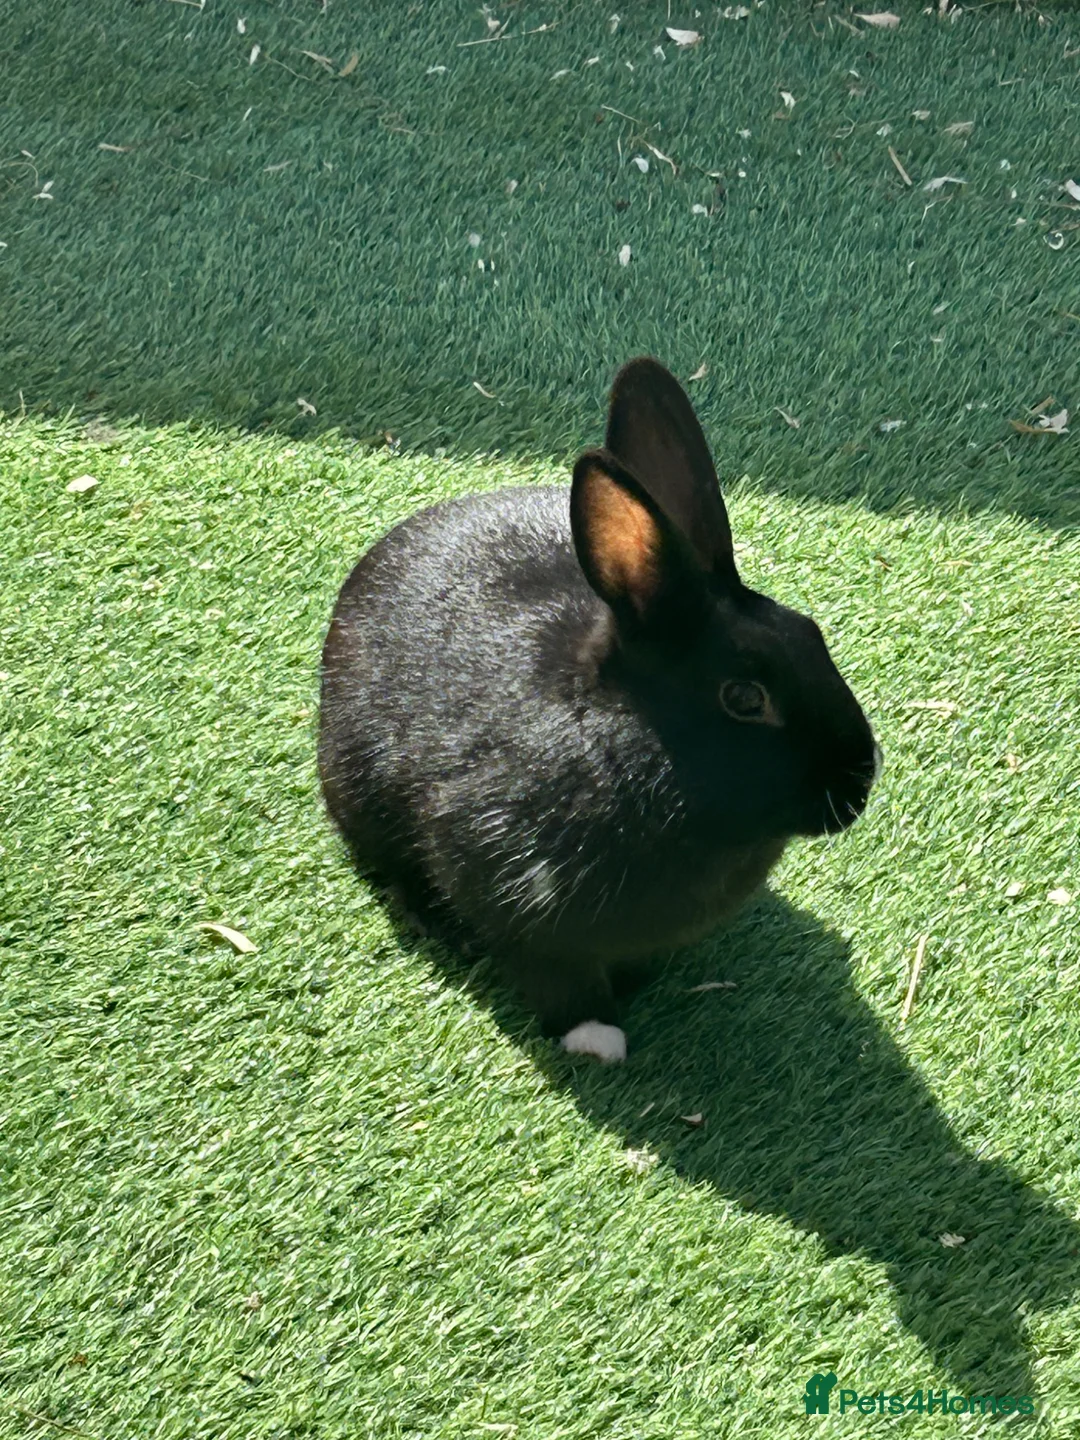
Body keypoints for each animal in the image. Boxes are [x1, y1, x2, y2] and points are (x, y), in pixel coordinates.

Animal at [318, 358, 879, 1063]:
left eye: (812, 633)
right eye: (745, 698)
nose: (862, 778)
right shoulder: (512, 896)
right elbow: (558, 979)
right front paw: (595, 1039)